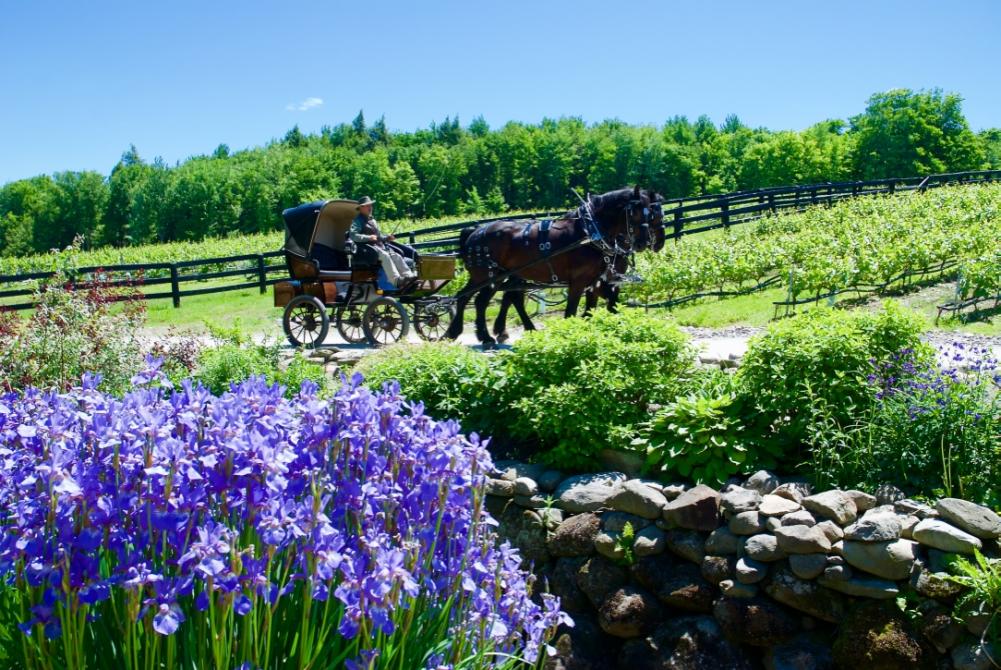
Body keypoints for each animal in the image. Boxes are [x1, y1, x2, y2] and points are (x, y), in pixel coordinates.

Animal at [446, 185, 656, 348]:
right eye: (635, 212)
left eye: (652, 214)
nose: (645, 242)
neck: (588, 233)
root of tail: (475, 231)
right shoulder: (579, 282)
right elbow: (571, 311)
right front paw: (569, 336)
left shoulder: (596, 282)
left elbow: (601, 307)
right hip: (487, 276)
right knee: (474, 299)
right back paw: (473, 335)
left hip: (497, 277)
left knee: (477, 299)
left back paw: (476, 334)